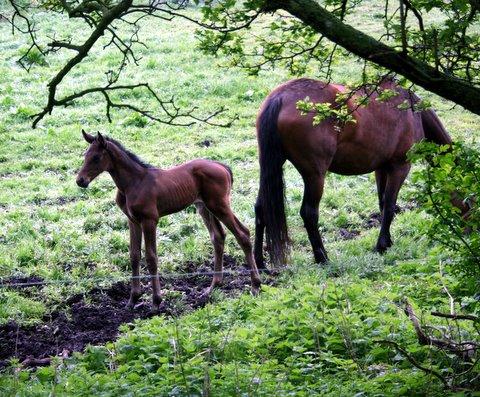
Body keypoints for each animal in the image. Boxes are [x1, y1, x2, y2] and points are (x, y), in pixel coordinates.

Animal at [76, 131, 260, 310]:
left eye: (96, 157)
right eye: (85, 155)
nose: (80, 180)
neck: (134, 183)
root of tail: (223, 166)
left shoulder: (149, 221)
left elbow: (151, 258)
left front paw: (156, 301)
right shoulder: (132, 221)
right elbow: (134, 256)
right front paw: (132, 299)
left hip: (219, 206)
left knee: (242, 234)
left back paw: (255, 285)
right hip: (204, 207)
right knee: (218, 237)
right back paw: (213, 287)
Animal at [255, 77, 454, 268]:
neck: (413, 113)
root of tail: (280, 97)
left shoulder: (381, 168)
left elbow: (383, 204)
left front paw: (387, 241)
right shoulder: (400, 167)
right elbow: (390, 205)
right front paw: (382, 245)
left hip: (272, 166)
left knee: (261, 208)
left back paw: (259, 263)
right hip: (315, 176)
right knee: (309, 213)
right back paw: (322, 258)